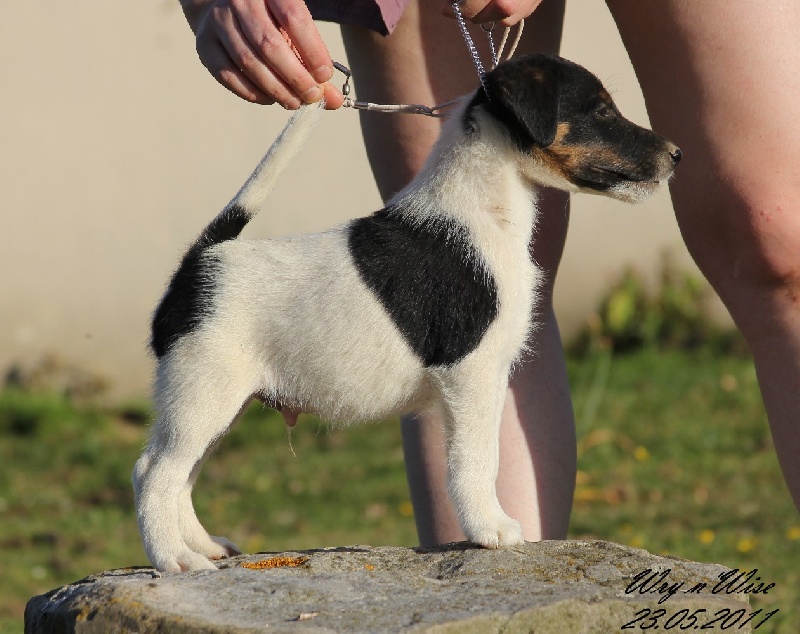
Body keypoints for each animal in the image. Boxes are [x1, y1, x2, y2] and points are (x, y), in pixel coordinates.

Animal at [133, 54, 681, 572]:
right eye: (601, 111)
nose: (676, 155)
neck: (478, 209)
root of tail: (201, 258)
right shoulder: (471, 373)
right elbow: (477, 459)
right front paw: (491, 529)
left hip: (220, 402)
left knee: (181, 475)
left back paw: (205, 545)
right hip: (203, 393)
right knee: (155, 473)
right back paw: (174, 558)